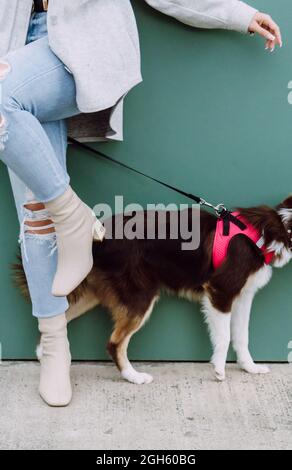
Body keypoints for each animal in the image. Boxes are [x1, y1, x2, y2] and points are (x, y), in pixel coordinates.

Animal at [13, 196, 292, 384]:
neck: (276, 228)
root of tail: (98, 239)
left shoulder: (243, 297)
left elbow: (242, 337)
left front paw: (250, 368)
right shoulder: (219, 291)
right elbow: (224, 337)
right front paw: (219, 370)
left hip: (95, 291)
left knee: (61, 314)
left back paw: (45, 355)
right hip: (140, 296)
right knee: (114, 343)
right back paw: (133, 377)